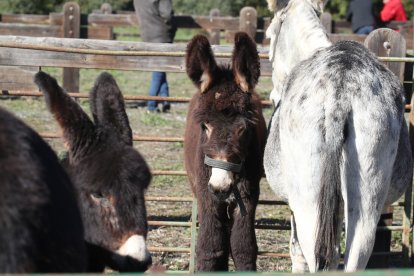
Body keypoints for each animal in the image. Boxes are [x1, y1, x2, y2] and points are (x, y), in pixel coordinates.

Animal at [183, 31, 266, 270]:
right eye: (205, 126)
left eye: (244, 128)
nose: (221, 187)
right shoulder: (206, 194)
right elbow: (210, 247)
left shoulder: (248, 195)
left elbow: (243, 247)